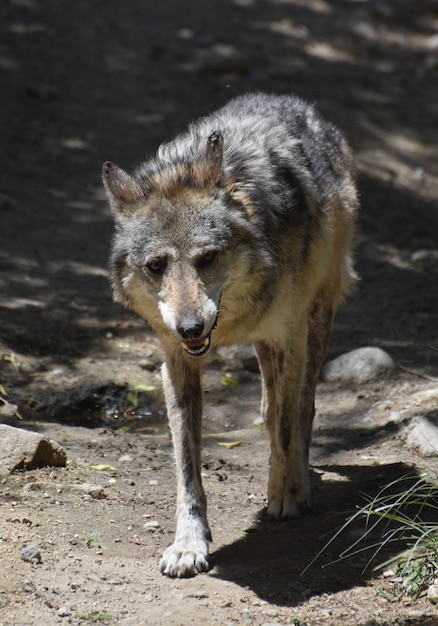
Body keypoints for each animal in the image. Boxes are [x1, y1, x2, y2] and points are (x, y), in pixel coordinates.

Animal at [103, 91, 360, 576]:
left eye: (207, 258)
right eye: (156, 266)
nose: (190, 327)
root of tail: (288, 100)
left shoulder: (289, 336)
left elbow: (285, 424)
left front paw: (285, 493)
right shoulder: (176, 361)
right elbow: (187, 466)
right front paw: (188, 543)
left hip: (315, 322)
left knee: (300, 408)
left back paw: (298, 479)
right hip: (266, 347)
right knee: (267, 403)